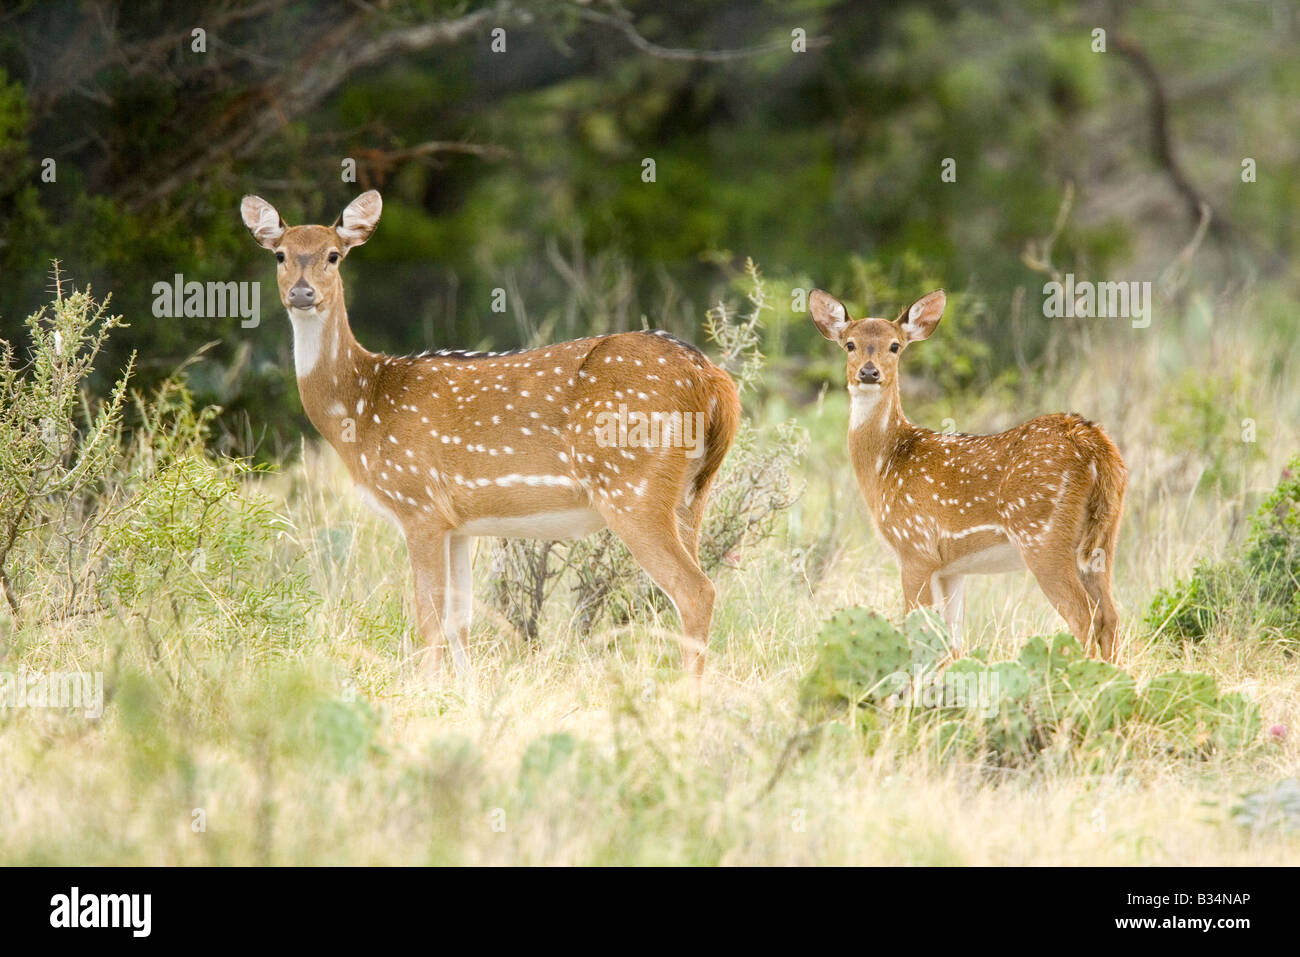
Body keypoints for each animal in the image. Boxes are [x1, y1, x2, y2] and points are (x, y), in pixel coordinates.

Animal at [241, 190, 741, 682]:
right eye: (280, 254)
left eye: (334, 255)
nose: (301, 293)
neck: (364, 409)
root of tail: (715, 379)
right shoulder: (459, 524)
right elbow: (459, 620)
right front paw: (465, 693)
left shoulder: (417, 503)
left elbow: (428, 616)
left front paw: (425, 690)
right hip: (692, 491)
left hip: (632, 486)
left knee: (695, 590)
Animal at [809, 287, 1126, 659]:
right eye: (850, 344)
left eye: (894, 345)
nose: (869, 372)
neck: (885, 467)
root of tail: (1094, 443)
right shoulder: (952, 567)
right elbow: (952, 642)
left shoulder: (915, 546)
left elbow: (921, 634)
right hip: (1105, 537)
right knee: (1110, 615)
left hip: (1042, 535)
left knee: (1084, 617)